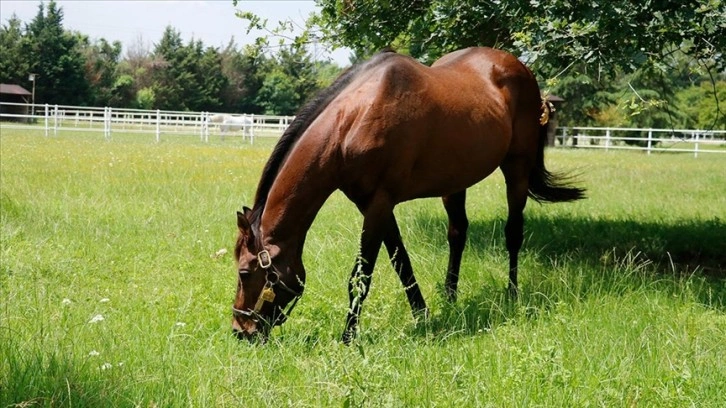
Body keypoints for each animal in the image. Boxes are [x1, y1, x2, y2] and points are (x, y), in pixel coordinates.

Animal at [233, 46, 584, 342]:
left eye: (244, 272)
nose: (240, 329)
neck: (353, 121)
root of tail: (519, 67)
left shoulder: (378, 204)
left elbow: (361, 275)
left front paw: (348, 337)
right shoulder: (373, 204)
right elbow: (401, 262)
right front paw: (423, 314)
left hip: (517, 169)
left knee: (513, 232)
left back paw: (512, 294)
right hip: (455, 183)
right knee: (458, 233)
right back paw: (450, 296)